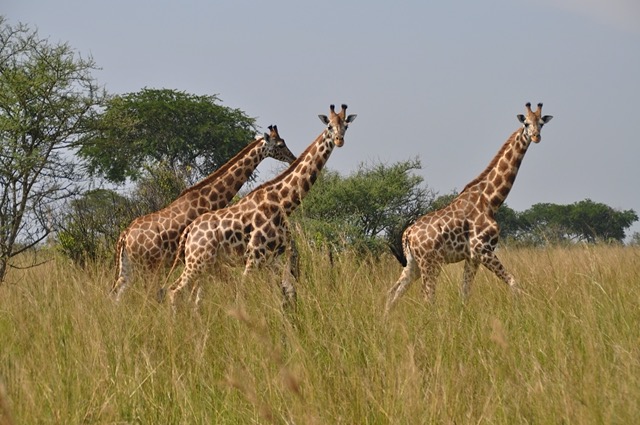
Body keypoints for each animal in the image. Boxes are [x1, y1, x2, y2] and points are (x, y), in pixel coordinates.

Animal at [111, 126, 296, 298]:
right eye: (280, 145)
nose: (293, 159)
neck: (207, 198)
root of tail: (124, 236)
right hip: (150, 266)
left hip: (130, 267)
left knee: (116, 294)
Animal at [164, 104, 356, 306]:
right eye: (329, 126)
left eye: (345, 126)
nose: (339, 140)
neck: (282, 202)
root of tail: (188, 231)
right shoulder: (254, 256)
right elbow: (242, 295)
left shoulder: (270, 259)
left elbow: (284, 293)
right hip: (197, 262)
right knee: (174, 290)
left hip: (206, 264)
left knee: (192, 297)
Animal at [388, 101, 552, 310]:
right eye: (526, 124)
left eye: (541, 124)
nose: (536, 137)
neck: (490, 200)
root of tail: (407, 234)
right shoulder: (483, 250)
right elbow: (514, 282)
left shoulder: (472, 256)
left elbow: (465, 293)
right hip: (430, 262)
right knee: (427, 296)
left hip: (413, 265)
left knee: (393, 292)